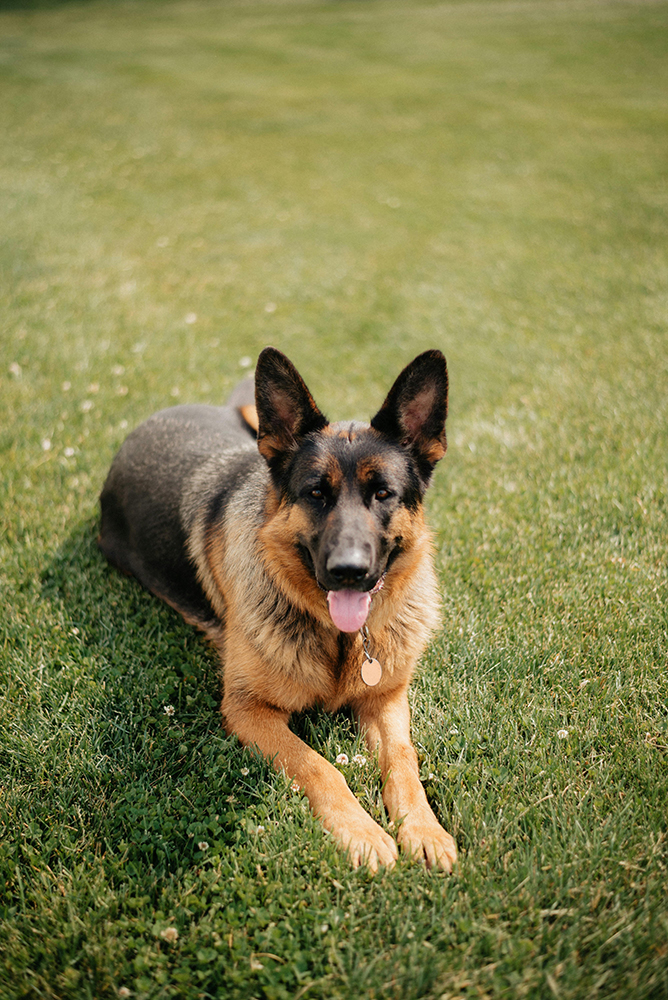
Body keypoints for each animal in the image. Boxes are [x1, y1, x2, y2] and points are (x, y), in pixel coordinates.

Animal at [98, 348, 454, 872]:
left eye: (383, 493)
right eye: (315, 493)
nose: (349, 571)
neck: (340, 640)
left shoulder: (386, 697)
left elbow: (404, 759)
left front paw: (424, 828)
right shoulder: (248, 710)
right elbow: (321, 767)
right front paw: (363, 831)